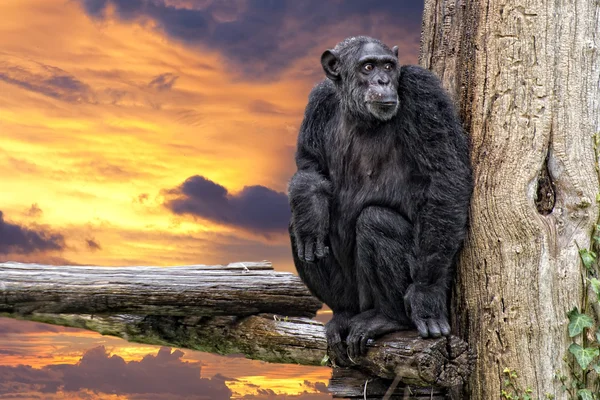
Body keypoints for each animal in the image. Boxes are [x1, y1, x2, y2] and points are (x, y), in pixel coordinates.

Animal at [288, 37, 474, 366]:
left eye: (388, 66)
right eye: (367, 67)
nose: (383, 81)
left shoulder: (423, 90)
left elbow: (444, 175)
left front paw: (426, 294)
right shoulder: (318, 100)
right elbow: (311, 166)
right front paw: (311, 212)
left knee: (376, 221)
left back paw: (390, 318)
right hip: (354, 297)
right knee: (298, 229)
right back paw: (341, 313)